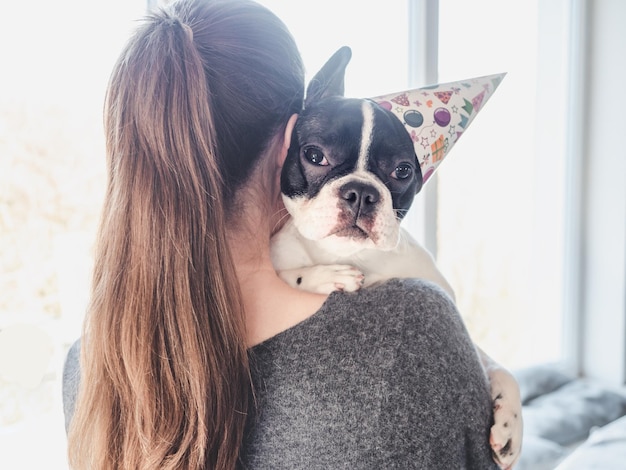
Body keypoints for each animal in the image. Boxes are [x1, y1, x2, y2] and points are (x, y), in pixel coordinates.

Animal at [270, 46, 520, 468]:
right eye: (315, 156)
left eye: (402, 171)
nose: (361, 191)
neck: (357, 255)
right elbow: (291, 273)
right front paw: (327, 275)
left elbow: (499, 367)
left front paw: (510, 424)